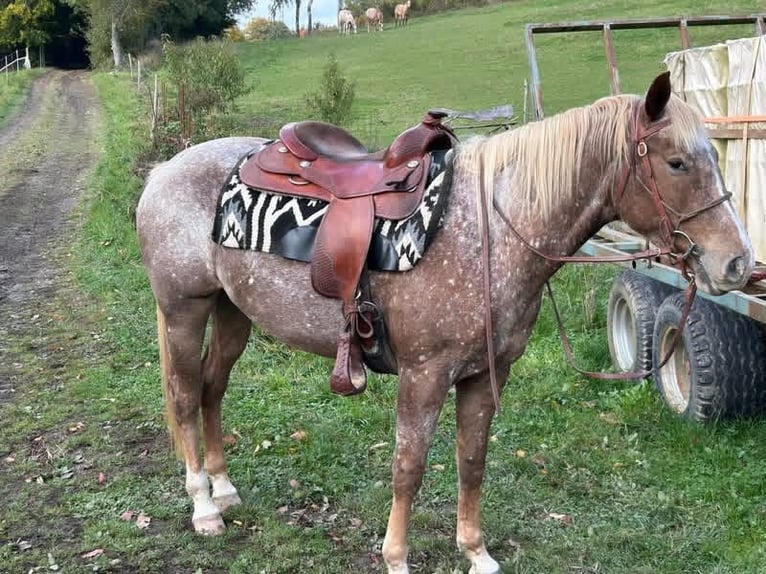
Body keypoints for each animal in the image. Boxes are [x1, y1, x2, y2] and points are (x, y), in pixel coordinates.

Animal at [136, 73, 753, 574]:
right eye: (677, 162)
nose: (738, 263)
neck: (492, 230)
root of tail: (165, 170)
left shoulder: (484, 374)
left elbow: (472, 460)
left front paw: (476, 552)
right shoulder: (424, 376)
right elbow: (409, 466)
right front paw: (396, 558)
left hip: (232, 312)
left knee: (213, 388)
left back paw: (223, 488)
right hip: (183, 311)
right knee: (185, 395)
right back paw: (203, 507)